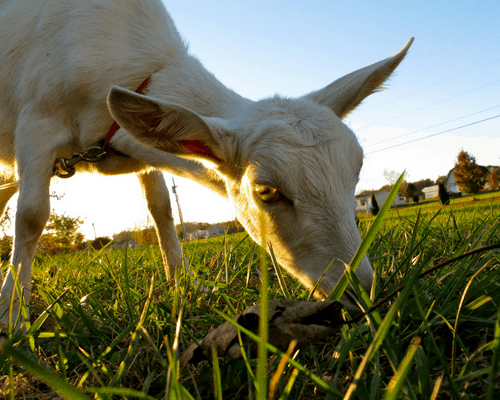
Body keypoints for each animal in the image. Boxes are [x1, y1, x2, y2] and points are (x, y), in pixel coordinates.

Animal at [0, 0, 414, 330]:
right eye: (267, 191)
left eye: (356, 171)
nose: (360, 291)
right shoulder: (37, 123)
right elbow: (33, 216)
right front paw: (12, 317)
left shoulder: (138, 149)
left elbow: (162, 209)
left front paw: (184, 283)